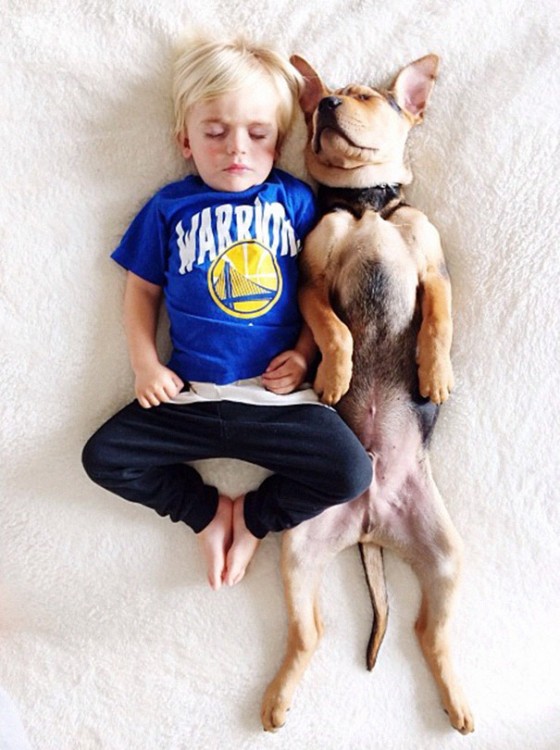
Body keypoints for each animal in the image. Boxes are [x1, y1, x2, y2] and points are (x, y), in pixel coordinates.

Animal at [260, 55, 474, 736]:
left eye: (362, 98)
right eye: (320, 102)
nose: (326, 103)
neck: (369, 206)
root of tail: (372, 526)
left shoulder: (435, 272)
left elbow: (439, 320)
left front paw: (435, 373)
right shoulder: (313, 281)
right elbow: (334, 329)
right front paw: (334, 375)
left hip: (447, 558)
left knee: (429, 634)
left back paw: (457, 701)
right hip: (298, 549)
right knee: (312, 633)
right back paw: (277, 699)